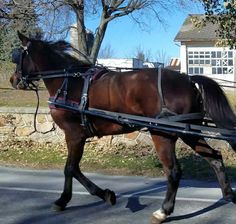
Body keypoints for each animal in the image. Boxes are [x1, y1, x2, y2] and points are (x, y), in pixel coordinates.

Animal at [9, 32, 236, 224]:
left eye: (18, 56)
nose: (13, 79)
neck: (68, 83)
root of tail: (188, 79)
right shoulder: (78, 136)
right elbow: (74, 169)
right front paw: (100, 195)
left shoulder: (73, 135)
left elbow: (70, 168)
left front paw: (67, 199)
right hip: (189, 132)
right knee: (215, 158)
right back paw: (228, 194)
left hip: (162, 134)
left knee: (173, 171)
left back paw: (163, 211)